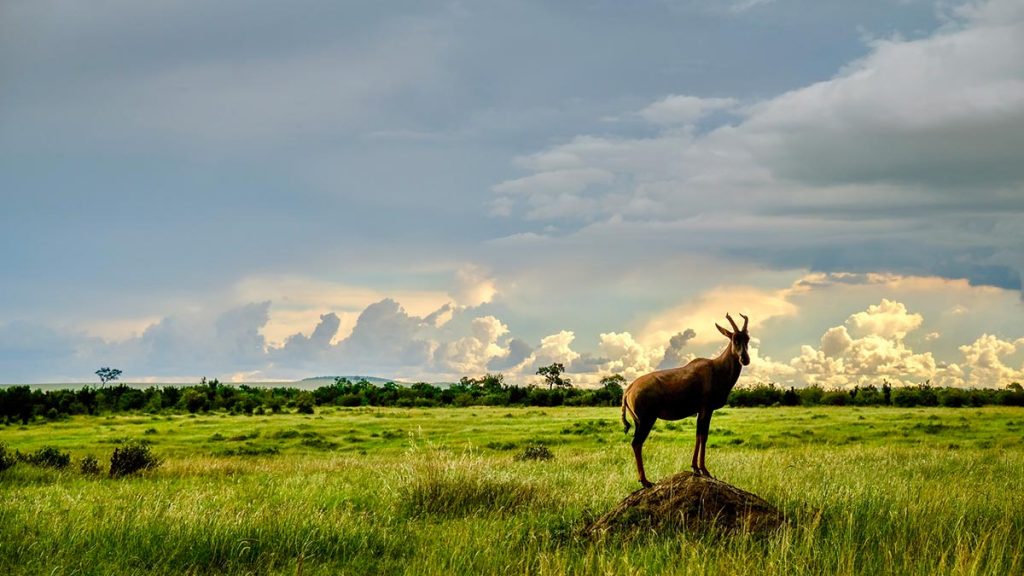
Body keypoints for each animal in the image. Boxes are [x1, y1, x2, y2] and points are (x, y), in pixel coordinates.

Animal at [618, 311, 749, 485]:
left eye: (747, 338)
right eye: (734, 339)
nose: (745, 359)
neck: (715, 368)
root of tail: (629, 389)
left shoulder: (701, 411)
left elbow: (698, 435)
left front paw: (695, 468)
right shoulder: (706, 409)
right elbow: (704, 436)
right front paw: (705, 470)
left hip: (638, 421)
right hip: (647, 420)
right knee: (636, 443)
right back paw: (646, 482)